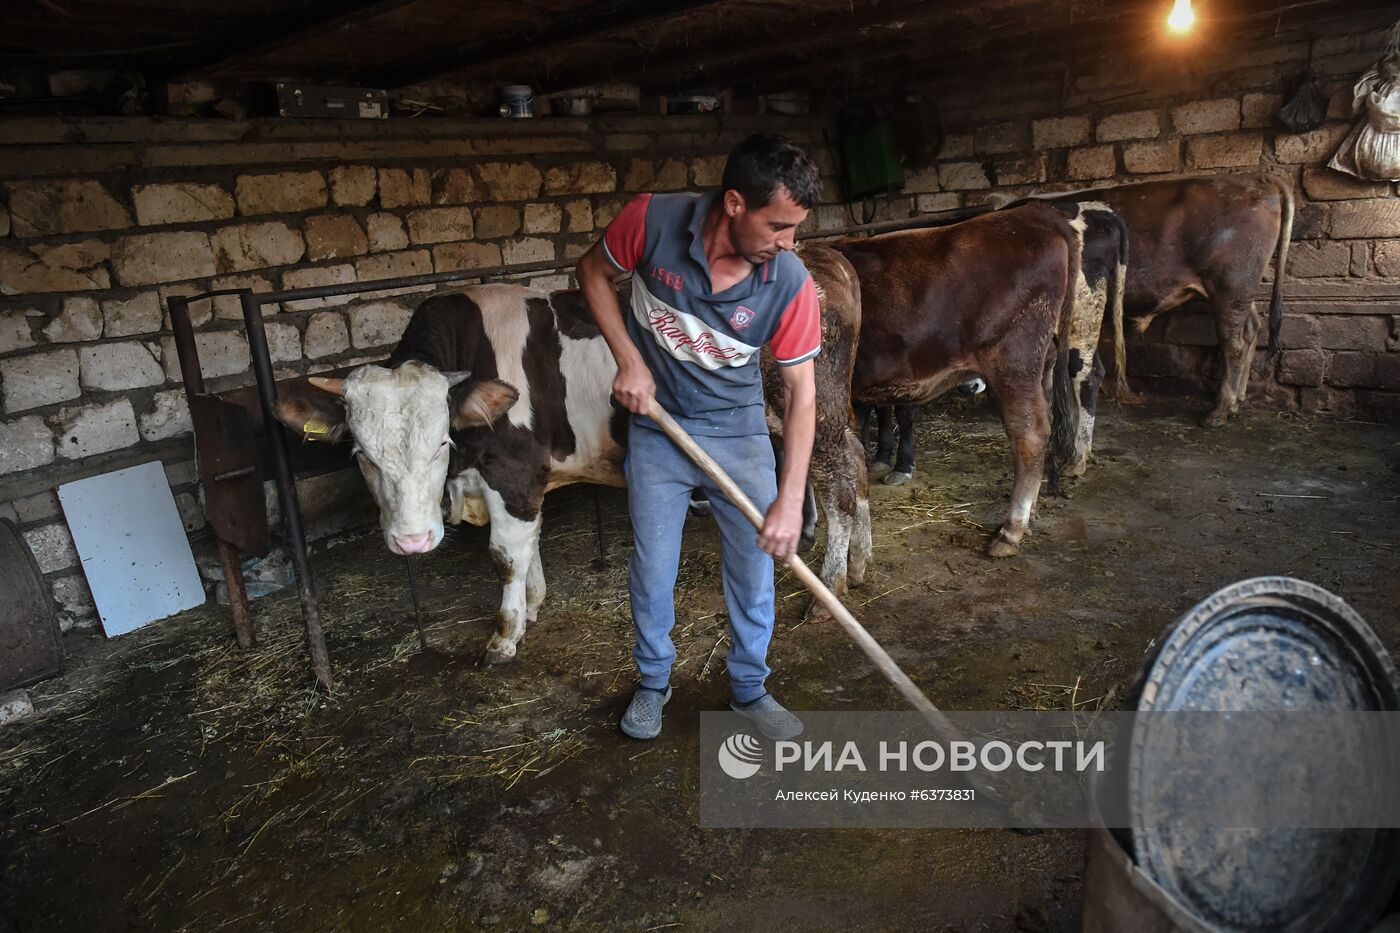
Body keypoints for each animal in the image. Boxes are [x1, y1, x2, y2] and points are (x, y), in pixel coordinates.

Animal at [270, 268, 862, 661]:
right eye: (361, 454)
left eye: (441, 442)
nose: (412, 541)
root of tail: (822, 263)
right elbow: (528, 545)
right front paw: (532, 606)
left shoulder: (513, 470)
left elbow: (506, 555)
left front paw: (504, 636)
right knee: (851, 464)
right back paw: (857, 562)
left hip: (812, 411)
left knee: (838, 483)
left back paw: (831, 584)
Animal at [828, 200, 1080, 554]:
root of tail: (1031, 214)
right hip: (1040, 365)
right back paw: (1032, 512)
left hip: (1014, 361)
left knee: (1030, 435)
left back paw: (1011, 530)